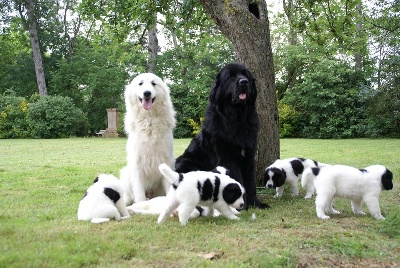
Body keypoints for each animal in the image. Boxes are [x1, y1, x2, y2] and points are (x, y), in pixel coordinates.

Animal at [121, 72, 176, 204]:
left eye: (153, 83)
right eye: (140, 83)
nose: (147, 93)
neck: (149, 120)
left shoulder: (166, 160)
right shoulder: (137, 163)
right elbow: (139, 191)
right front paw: (141, 203)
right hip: (125, 173)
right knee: (128, 196)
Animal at [175, 63, 268, 209]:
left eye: (245, 75)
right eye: (230, 77)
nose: (244, 82)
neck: (237, 118)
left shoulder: (249, 156)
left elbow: (250, 182)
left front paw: (256, 203)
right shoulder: (228, 158)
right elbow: (238, 181)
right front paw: (242, 205)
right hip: (186, 163)